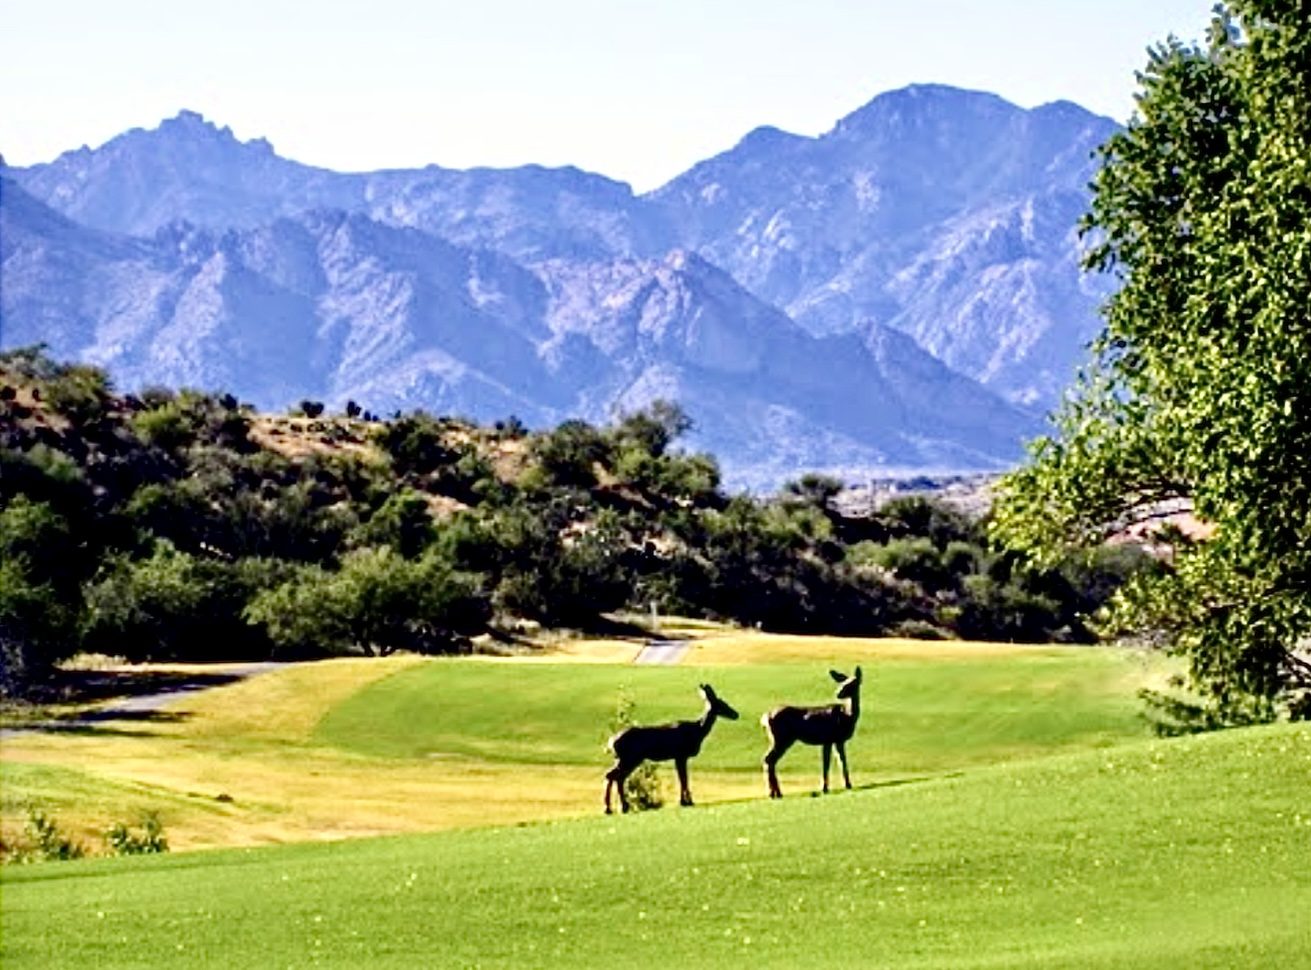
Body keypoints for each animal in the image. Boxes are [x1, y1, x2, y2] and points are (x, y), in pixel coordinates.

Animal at [604, 684, 740, 814]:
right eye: (723, 704)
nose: (736, 714)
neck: (697, 731)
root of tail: (611, 742)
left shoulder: (678, 757)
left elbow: (682, 778)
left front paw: (684, 801)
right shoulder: (681, 755)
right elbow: (684, 778)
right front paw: (687, 802)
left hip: (624, 759)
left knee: (613, 776)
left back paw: (613, 808)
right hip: (630, 758)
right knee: (615, 776)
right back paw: (618, 807)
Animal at [761, 667, 863, 799]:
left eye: (852, 683)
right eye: (842, 683)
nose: (837, 693)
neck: (847, 715)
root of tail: (764, 717)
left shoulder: (837, 740)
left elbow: (842, 761)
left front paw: (848, 785)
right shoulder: (829, 738)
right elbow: (827, 764)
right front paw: (824, 789)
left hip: (781, 739)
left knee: (770, 761)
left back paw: (776, 793)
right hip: (781, 738)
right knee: (768, 759)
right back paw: (773, 793)